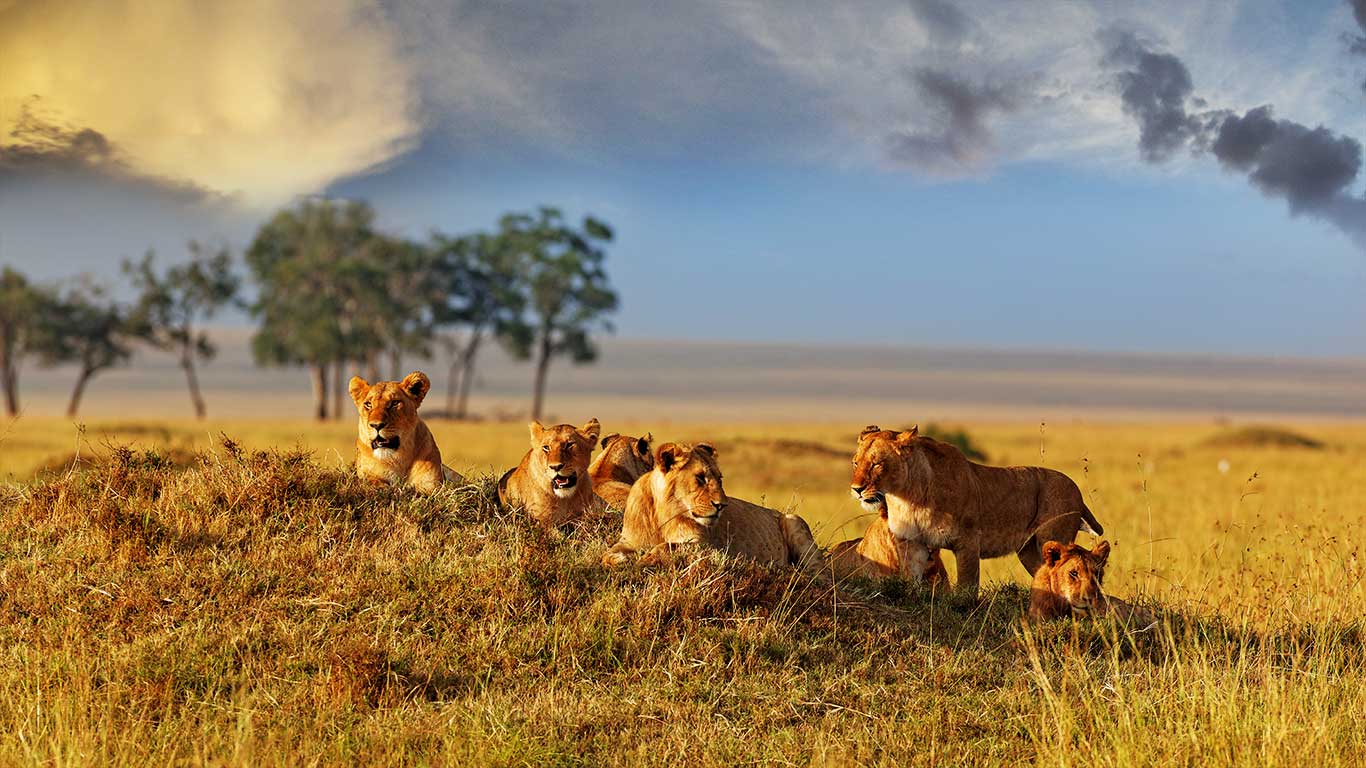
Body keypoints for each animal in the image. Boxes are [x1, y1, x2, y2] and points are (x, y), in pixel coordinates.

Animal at [601, 441, 822, 570]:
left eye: (719, 478)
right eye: (700, 478)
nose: (722, 505)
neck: (663, 515)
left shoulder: (706, 546)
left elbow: (667, 546)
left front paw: (645, 559)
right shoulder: (629, 540)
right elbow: (608, 553)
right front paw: (620, 559)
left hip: (794, 521)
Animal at [850, 425, 1104, 596]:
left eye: (876, 464)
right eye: (855, 462)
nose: (856, 489)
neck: (908, 498)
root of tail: (1076, 489)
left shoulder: (968, 542)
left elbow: (967, 587)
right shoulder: (912, 543)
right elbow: (911, 577)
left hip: (1051, 538)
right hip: (1029, 551)